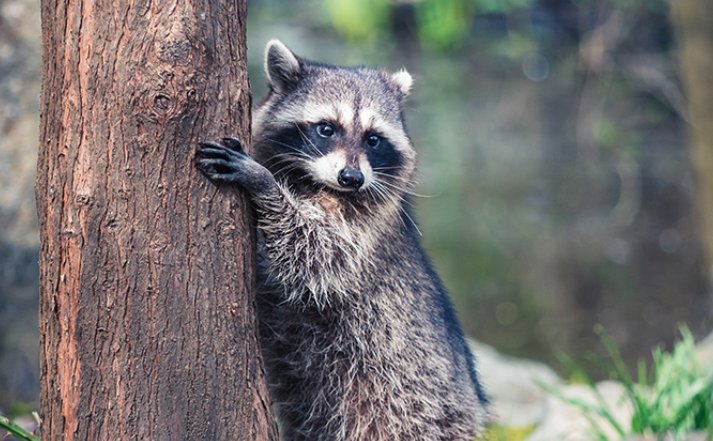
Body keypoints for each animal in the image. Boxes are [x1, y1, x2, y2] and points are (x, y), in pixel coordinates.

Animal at [195, 40, 488, 440]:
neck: (314, 182)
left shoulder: (364, 231)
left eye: (373, 139)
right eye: (326, 129)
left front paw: (264, 184)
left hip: (408, 415)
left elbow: (313, 254)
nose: (351, 177)